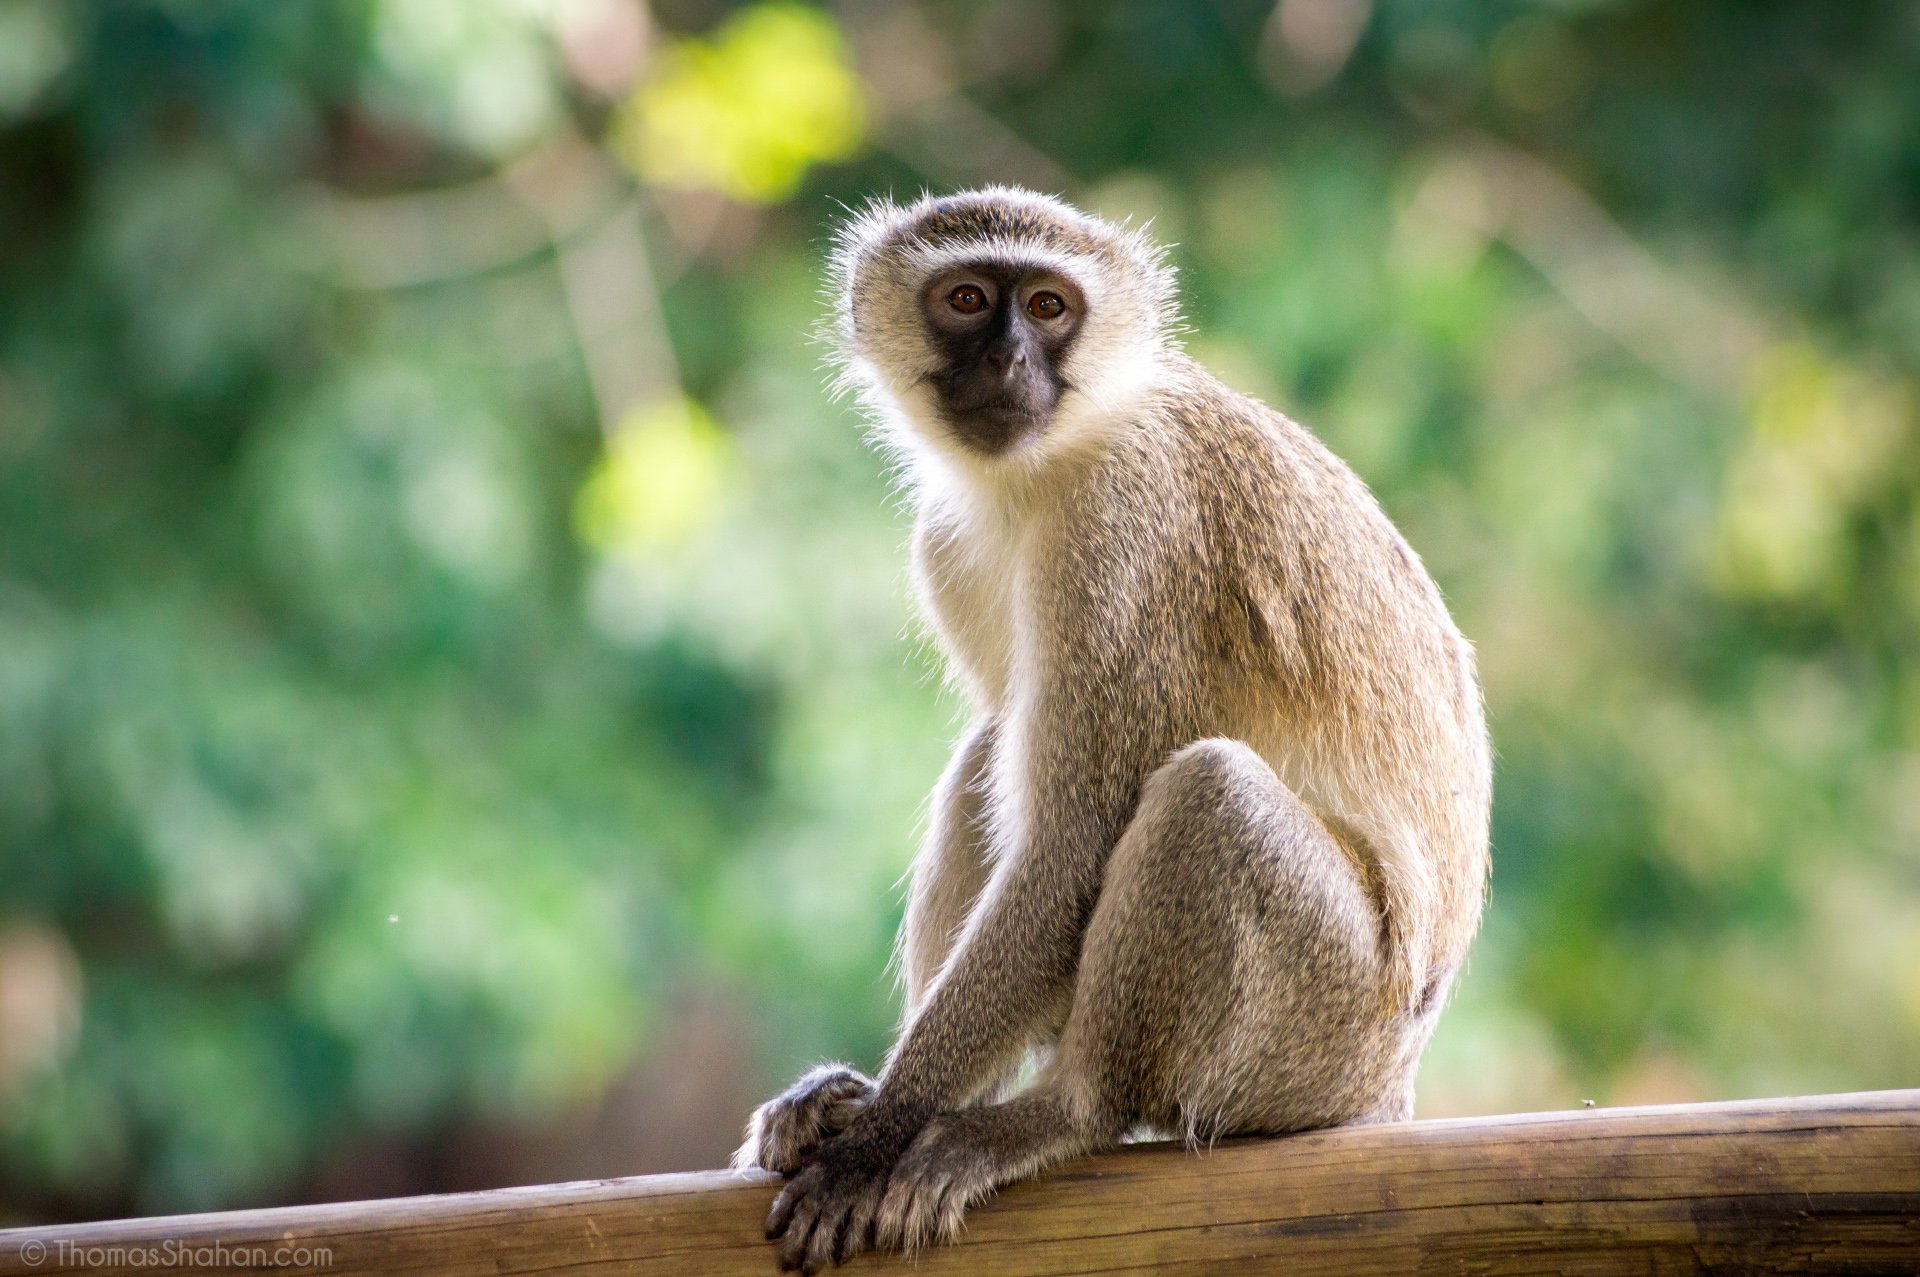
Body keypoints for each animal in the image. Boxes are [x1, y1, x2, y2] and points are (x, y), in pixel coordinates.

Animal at [729, 184, 1482, 1267]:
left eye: (1048, 307)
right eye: (967, 298)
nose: (1009, 360)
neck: (1051, 460)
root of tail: (1390, 1086)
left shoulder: (1124, 530)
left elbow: (1075, 842)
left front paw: (877, 1137)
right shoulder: (946, 541)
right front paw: (864, 1104)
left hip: (1326, 1027)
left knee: (1208, 795)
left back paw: (1064, 1112)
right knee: (993, 749)